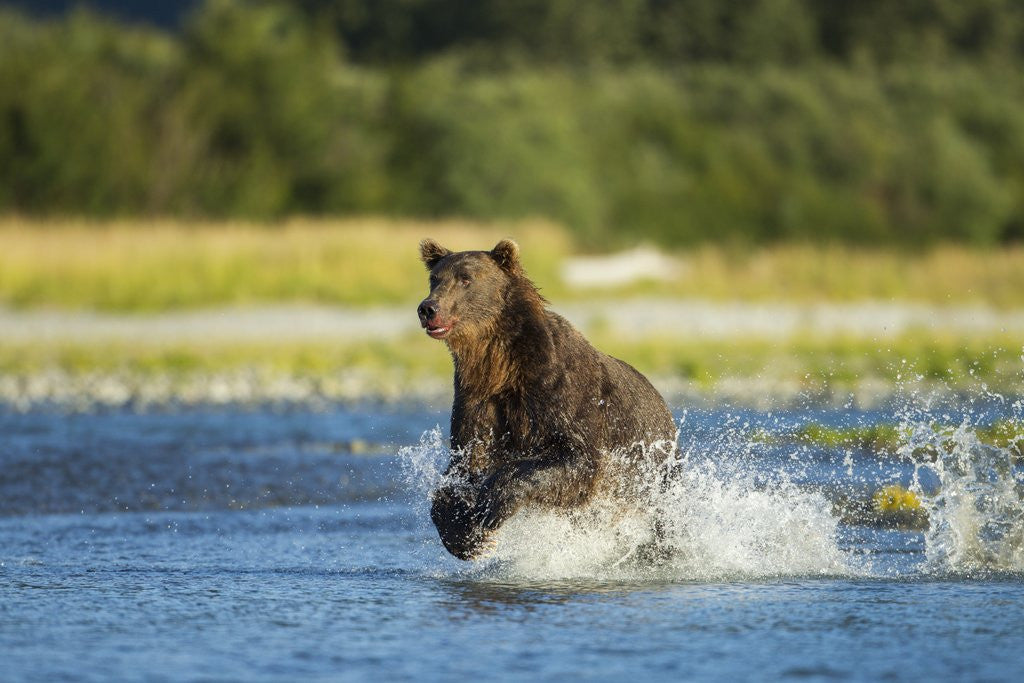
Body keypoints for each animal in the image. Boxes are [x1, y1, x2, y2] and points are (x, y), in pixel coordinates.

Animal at [417, 238, 678, 560]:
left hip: (653, 467)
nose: (428, 308)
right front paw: (467, 535)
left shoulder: (559, 393)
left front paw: (492, 504)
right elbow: (463, 468)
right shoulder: (477, 401)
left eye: (466, 278)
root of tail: (664, 406)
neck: (501, 367)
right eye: (434, 278)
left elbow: (577, 459)